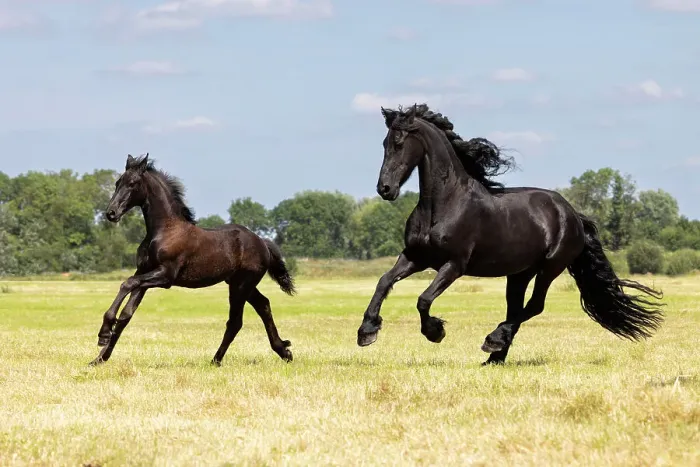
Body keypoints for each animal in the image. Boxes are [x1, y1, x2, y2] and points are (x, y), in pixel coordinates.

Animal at [89, 154, 295, 367]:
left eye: (133, 183)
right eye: (117, 183)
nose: (111, 213)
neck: (166, 230)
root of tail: (262, 242)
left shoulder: (165, 276)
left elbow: (127, 283)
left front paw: (104, 333)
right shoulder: (144, 273)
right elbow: (126, 314)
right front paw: (99, 358)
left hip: (241, 285)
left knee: (235, 322)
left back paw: (216, 360)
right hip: (240, 284)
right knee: (263, 305)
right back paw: (283, 351)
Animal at [356, 104, 664, 365]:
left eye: (399, 142)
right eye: (384, 143)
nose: (385, 189)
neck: (443, 204)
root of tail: (573, 214)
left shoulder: (454, 265)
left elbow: (423, 299)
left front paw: (435, 332)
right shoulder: (414, 257)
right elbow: (384, 282)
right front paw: (367, 331)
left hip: (550, 268)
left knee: (534, 306)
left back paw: (492, 342)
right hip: (519, 274)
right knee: (516, 309)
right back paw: (495, 356)